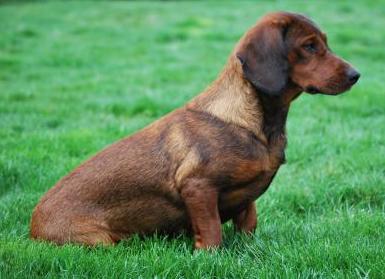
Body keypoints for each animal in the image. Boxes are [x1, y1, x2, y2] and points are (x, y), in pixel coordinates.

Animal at [30, 12, 360, 250]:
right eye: (309, 46)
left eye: (325, 43)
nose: (356, 75)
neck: (252, 123)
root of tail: (33, 227)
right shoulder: (198, 188)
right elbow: (212, 232)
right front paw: (210, 256)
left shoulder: (247, 200)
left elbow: (249, 224)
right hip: (102, 242)